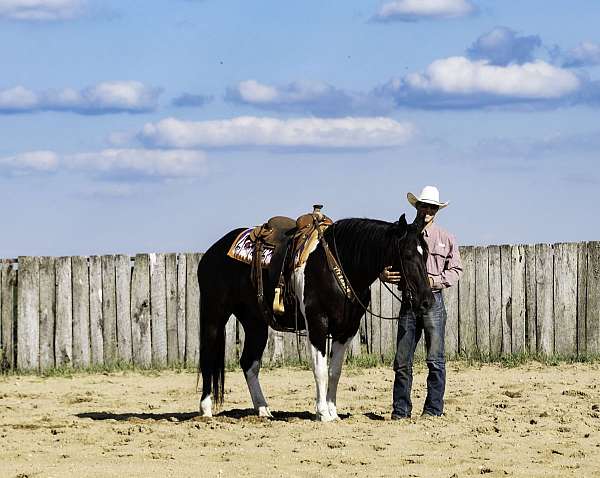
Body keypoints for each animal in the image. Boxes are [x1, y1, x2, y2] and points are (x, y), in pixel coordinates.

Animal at [199, 215, 434, 420]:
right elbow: (319, 370)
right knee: (208, 358)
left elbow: (334, 371)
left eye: (426, 255)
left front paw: (333, 412)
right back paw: (206, 410)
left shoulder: (346, 330)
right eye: (408, 255)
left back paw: (264, 410)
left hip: (255, 323)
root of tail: (213, 252)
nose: (427, 301)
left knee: (249, 363)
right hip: (214, 315)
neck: (339, 265)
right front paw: (322, 413)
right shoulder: (317, 324)